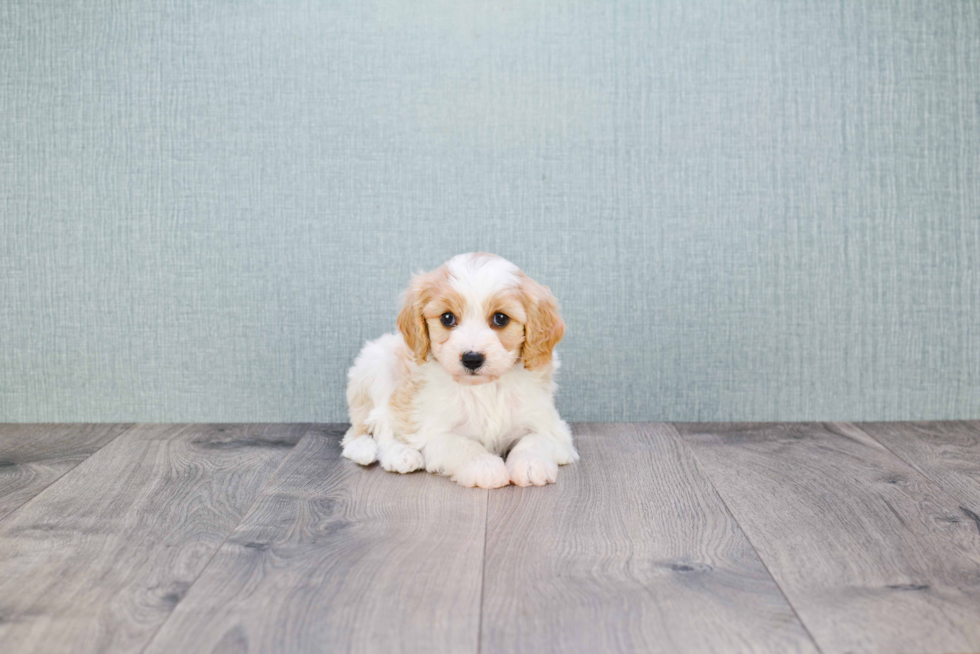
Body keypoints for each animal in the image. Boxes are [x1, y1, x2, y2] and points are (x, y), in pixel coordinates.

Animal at [340, 254, 580, 490]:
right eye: (447, 318)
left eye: (501, 318)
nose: (472, 359)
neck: (485, 388)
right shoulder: (434, 431)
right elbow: (462, 444)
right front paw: (485, 466)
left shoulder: (550, 424)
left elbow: (535, 439)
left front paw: (530, 464)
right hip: (377, 368)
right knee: (373, 427)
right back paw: (398, 454)